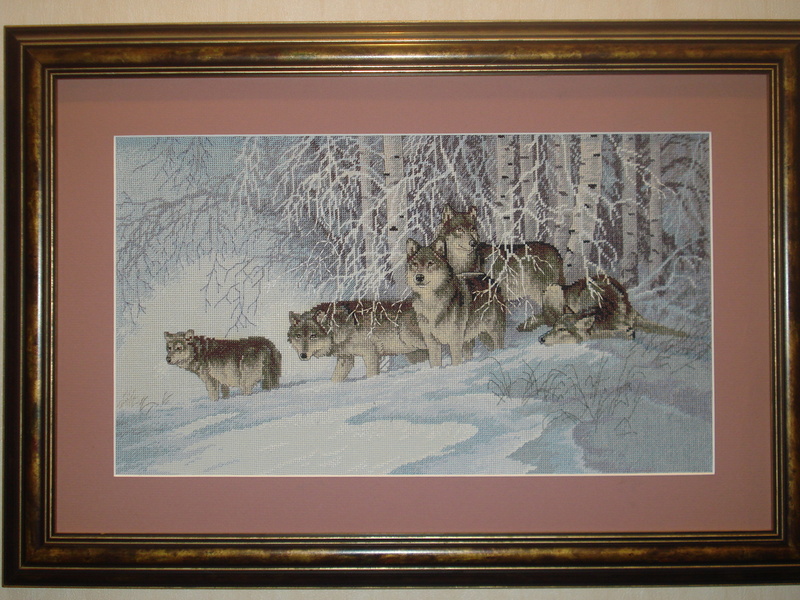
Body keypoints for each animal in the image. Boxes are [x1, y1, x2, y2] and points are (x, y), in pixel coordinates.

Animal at [288, 300, 428, 382]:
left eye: (313, 336)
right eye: (298, 336)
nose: (303, 355)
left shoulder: (371, 353)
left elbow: (371, 374)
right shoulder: (346, 358)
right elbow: (335, 378)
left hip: (410, 338)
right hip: (414, 353)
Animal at [406, 237, 506, 367]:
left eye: (430, 263)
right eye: (415, 264)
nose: (419, 277)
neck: (431, 304)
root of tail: (491, 279)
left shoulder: (455, 341)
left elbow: (456, 362)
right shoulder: (432, 343)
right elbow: (435, 364)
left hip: (492, 330)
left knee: (499, 345)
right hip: (475, 336)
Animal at [434, 204, 565, 332]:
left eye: (472, 229)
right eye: (459, 230)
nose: (473, 243)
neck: (460, 263)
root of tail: (556, 252)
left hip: (541, 291)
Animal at [533, 275, 689, 345]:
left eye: (562, 329)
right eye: (555, 328)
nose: (541, 339)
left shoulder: (635, 318)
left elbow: (673, 331)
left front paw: (690, 337)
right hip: (553, 288)